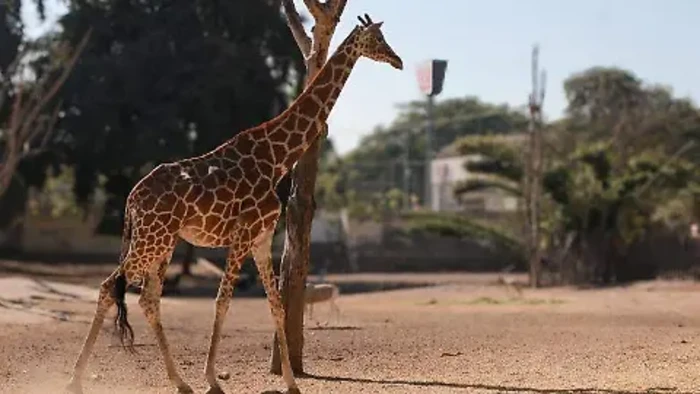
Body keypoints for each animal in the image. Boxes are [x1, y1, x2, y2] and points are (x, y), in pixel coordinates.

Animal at [65, 12, 404, 394]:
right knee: (110, 287)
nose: (398, 60)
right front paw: (213, 379)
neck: (278, 158)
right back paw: (75, 379)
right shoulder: (242, 235)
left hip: (163, 242)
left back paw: (180, 382)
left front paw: (291, 382)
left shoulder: (262, 238)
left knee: (148, 300)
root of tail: (131, 199)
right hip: (151, 240)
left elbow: (276, 305)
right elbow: (223, 301)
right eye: (377, 39)